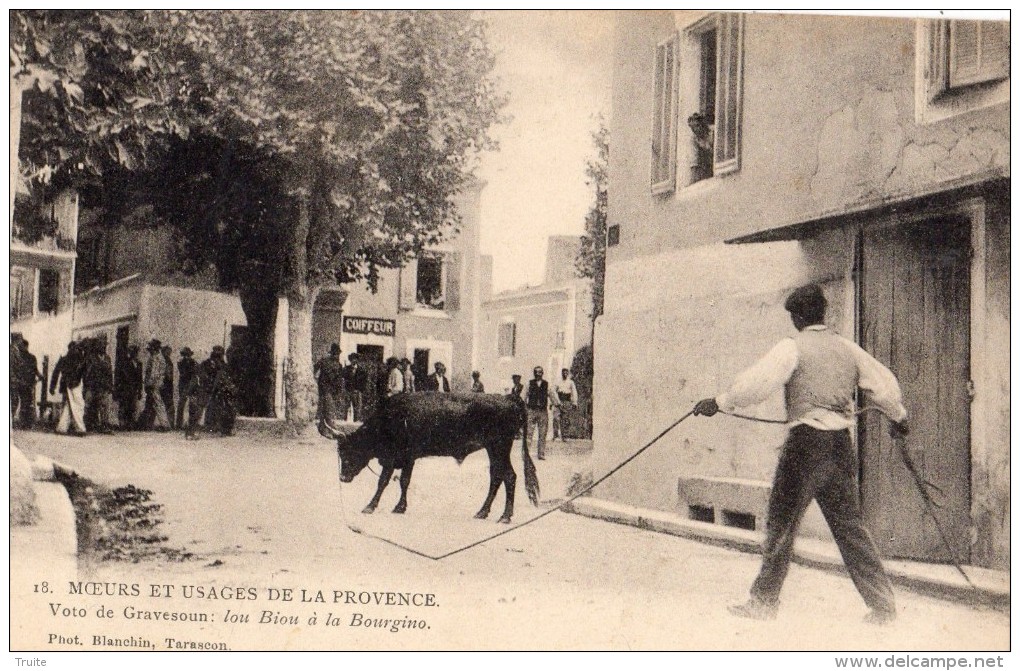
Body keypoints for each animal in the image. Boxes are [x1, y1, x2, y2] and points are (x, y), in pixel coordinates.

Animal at [334, 391, 542, 522]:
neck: (390, 418)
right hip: (493, 450)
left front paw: (370, 506)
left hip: (500, 448)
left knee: (509, 476)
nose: (342, 478)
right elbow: (404, 481)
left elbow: (383, 482)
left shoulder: (394, 459)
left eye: (350, 451)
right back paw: (482, 512)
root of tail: (509, 398)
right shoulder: (409, 458)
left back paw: (505, 516)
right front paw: (400, 507)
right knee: (497, 476)